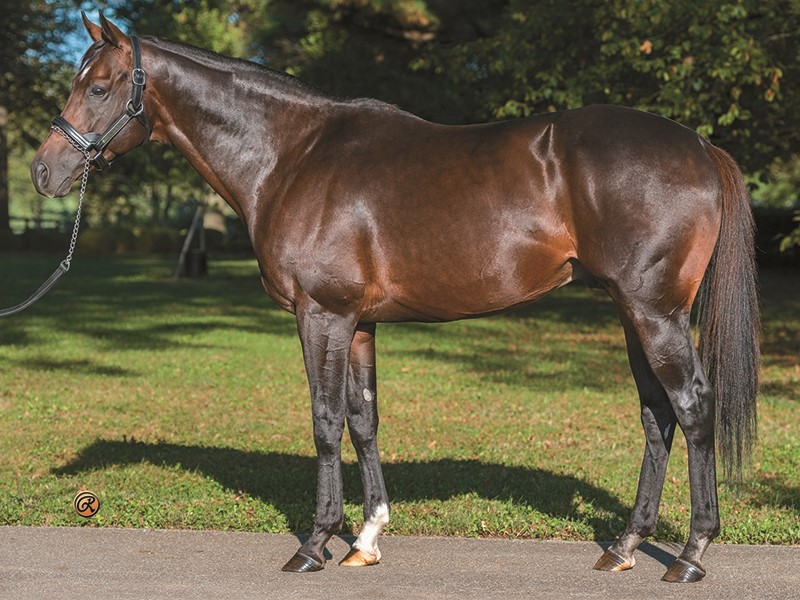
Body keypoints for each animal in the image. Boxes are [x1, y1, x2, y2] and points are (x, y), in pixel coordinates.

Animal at [31, 14, 760, 583]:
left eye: (98, 87)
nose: (43, 171)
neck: (291, 156)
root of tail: (699, 145)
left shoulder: (321, 315)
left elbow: (325, 422)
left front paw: (315, 544)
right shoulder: (358, 323)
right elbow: (364, 419)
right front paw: (366, 539)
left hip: (654, 312)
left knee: (692, 407)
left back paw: (690, 554)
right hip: (633, 312)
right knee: (657, 415)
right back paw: (627, 546)